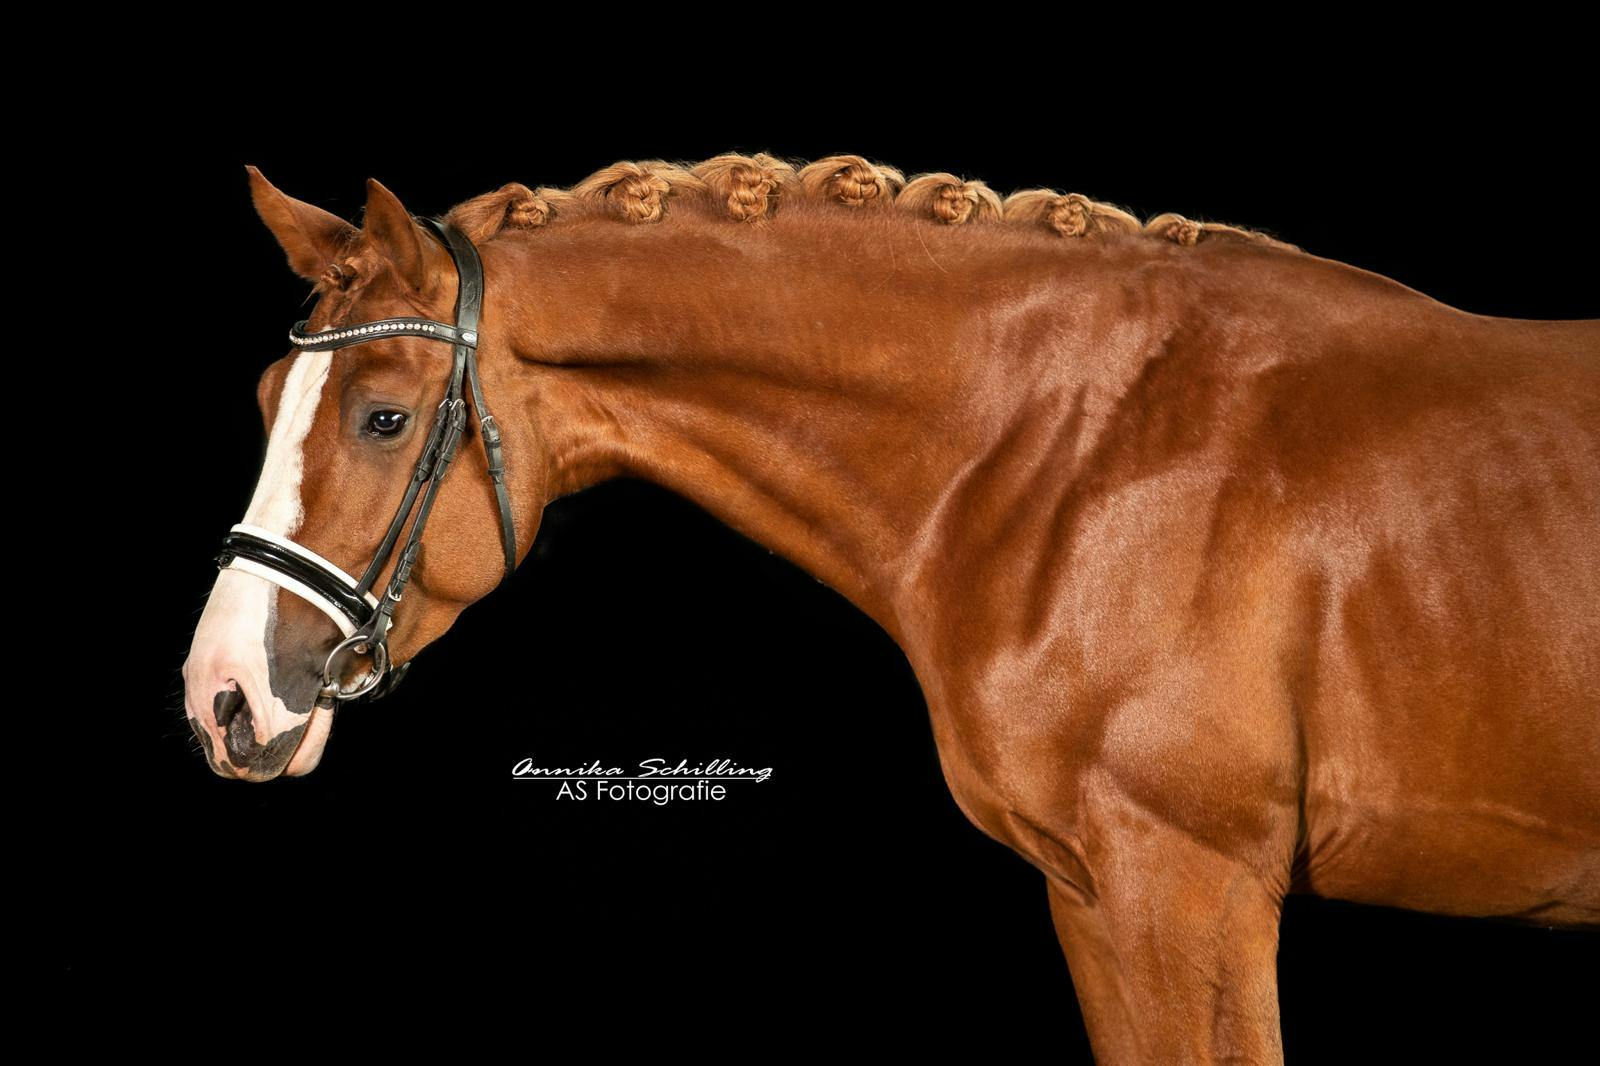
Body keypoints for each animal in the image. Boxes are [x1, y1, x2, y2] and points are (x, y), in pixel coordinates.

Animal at [182, 154, 1599, 1063]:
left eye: (383, 417)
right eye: (261, 401)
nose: (223, 696)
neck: (1092, 446)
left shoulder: (1191, 889)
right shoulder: (1097, 899)